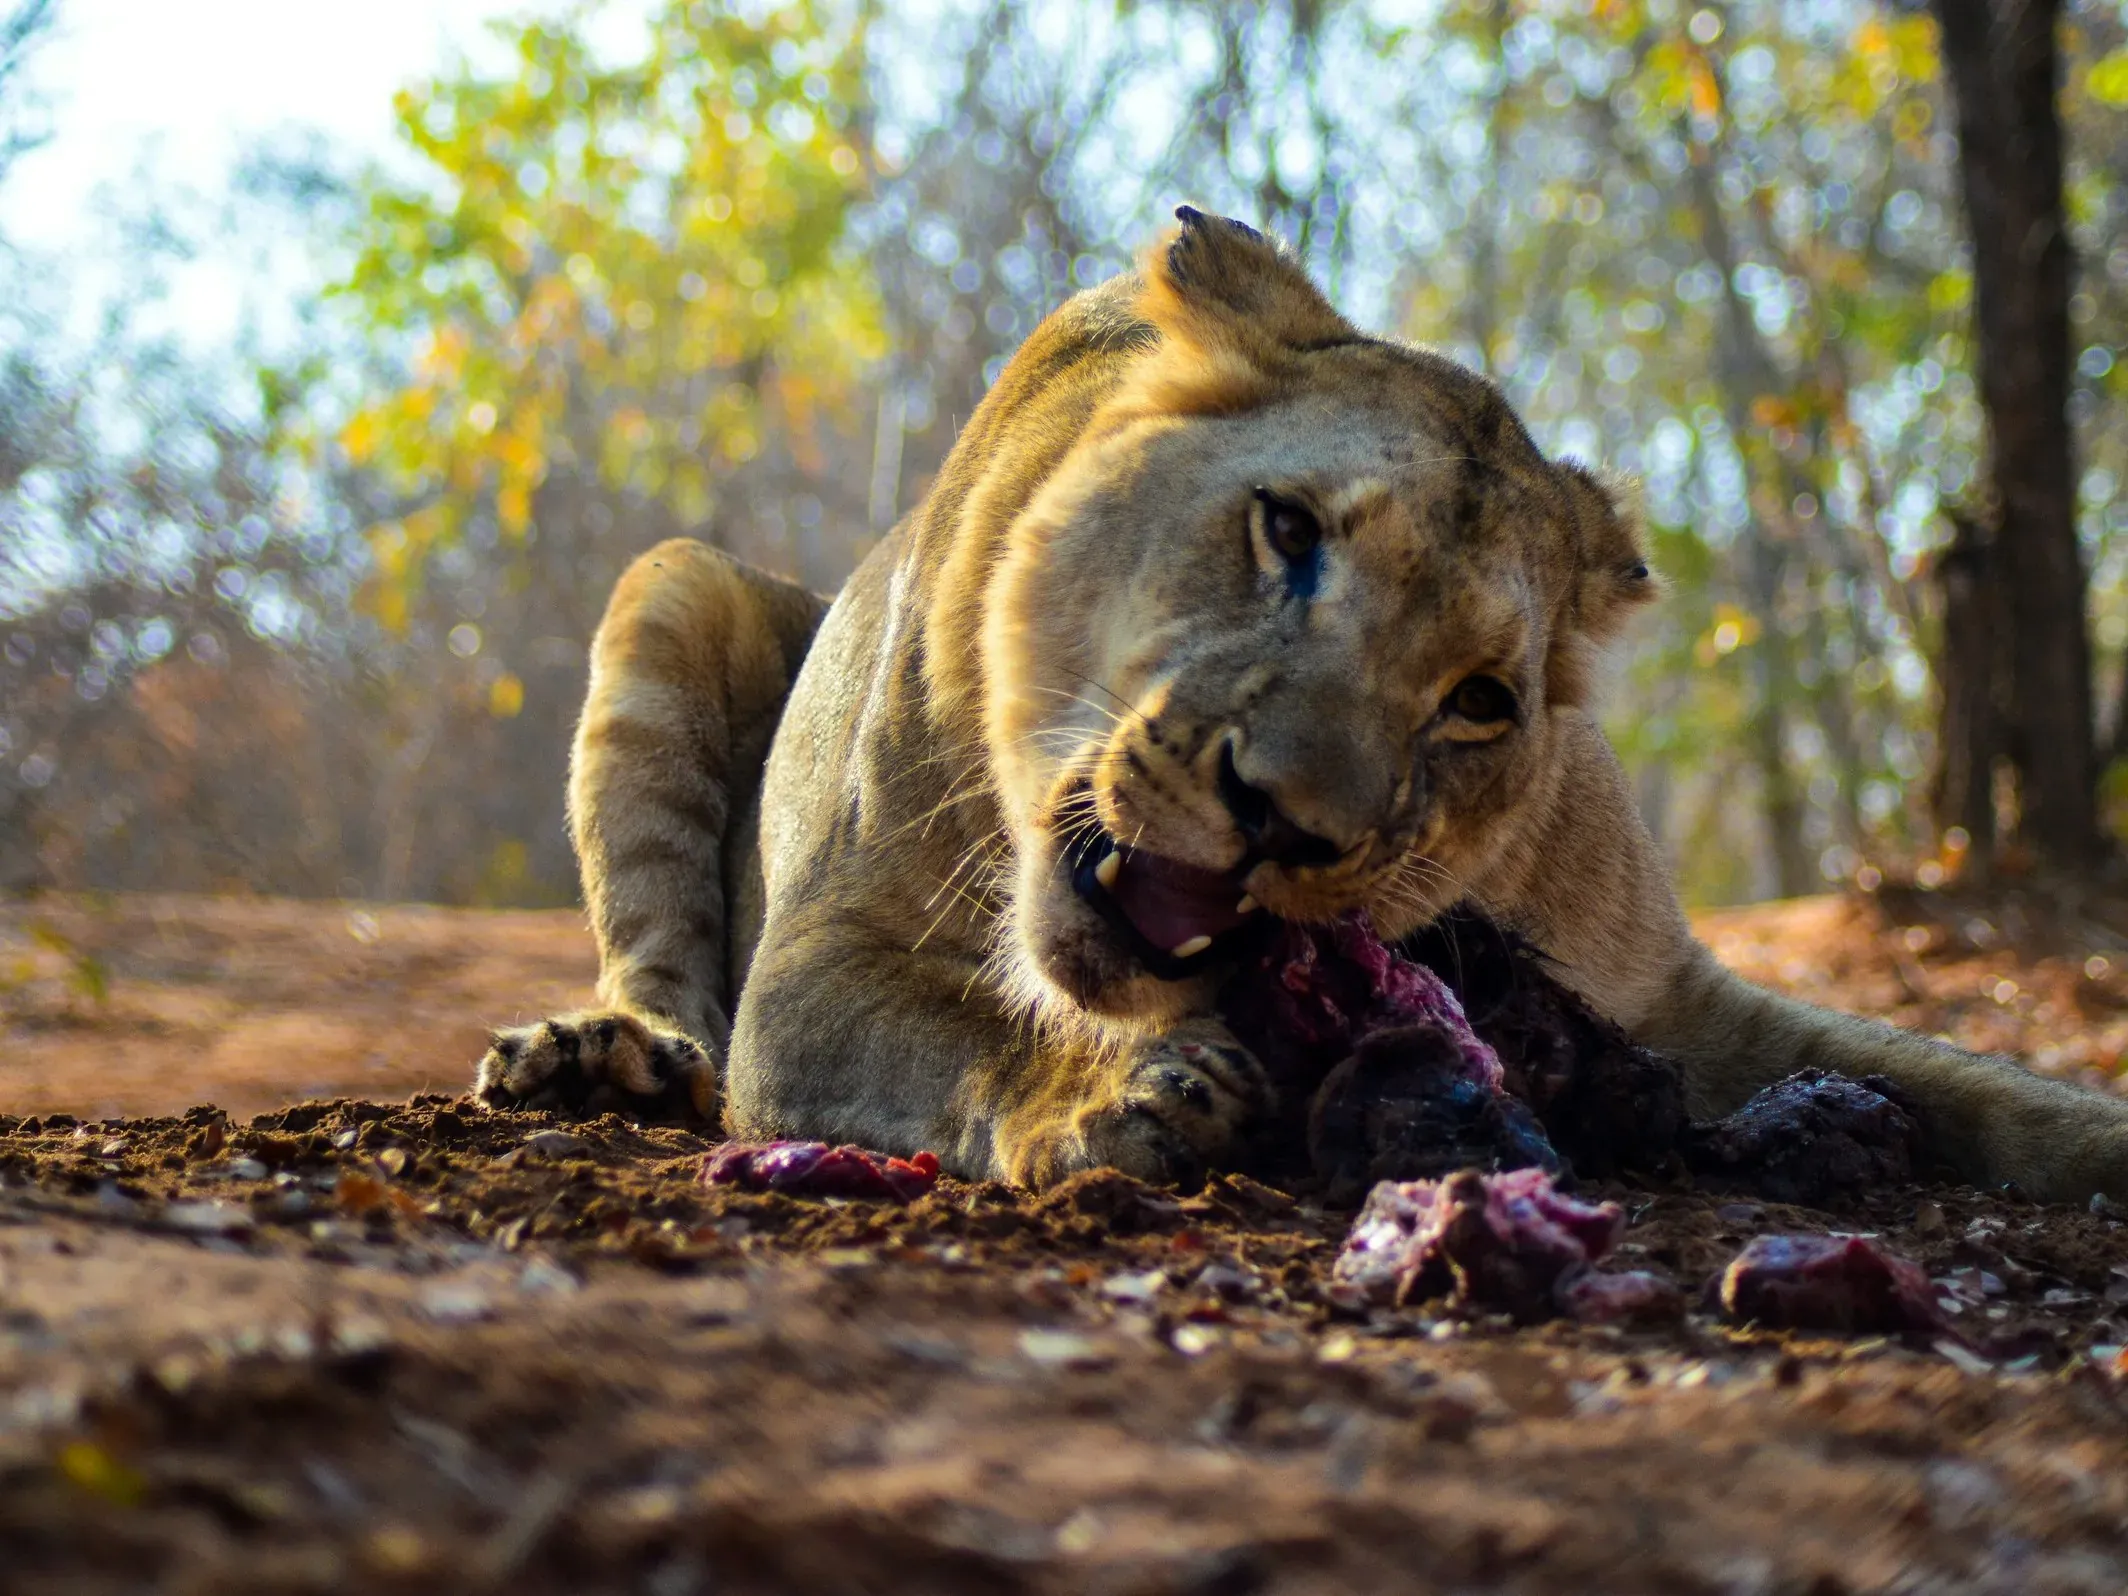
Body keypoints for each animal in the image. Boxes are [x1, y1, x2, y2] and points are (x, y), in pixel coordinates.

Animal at [475, 207, 2128, 1203]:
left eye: (1480, 700)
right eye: (1286, 531)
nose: (1286, 821)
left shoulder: (1678, 997)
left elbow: (2003, 1098)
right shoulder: (818, 961)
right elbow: (956, 1036)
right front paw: (1113, 1095)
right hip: (675, 585)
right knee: (663, 965)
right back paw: (607, 1052)